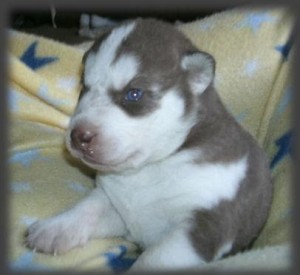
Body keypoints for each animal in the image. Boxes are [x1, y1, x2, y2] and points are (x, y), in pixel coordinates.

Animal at [27, 18, 274, 272]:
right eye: (83, 88)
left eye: (134, 94)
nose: (78, 135)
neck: (152, 167)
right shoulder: (116, 203)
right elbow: (88, 207)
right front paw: (54, 228)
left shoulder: (204, 224)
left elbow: (153, 258)